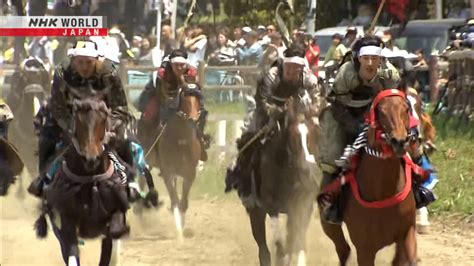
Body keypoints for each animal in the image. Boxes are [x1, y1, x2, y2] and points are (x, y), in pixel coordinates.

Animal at [38, 98, 129, 264]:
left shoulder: (116, 212)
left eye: (103, 120)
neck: (90, 180)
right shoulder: (66, 222)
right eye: (78, 123)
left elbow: (114, 233)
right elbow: (72, 251)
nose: (91, 158)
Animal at [241, 93, 318, 266]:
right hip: (255, 213)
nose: (308, 171)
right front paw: (282, 256)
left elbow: (297, 240)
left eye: (313, 135)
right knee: (263, 248)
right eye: (294, 138)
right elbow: (279, 239)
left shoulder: (303, 207)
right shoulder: (270, 206)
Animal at [322, 89, 422, 266]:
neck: (383, 191)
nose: (400, 141)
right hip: (328, 223)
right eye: (381, 111)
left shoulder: (407, 233)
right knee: (343, 250)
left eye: (405, 109)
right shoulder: (365, 249)